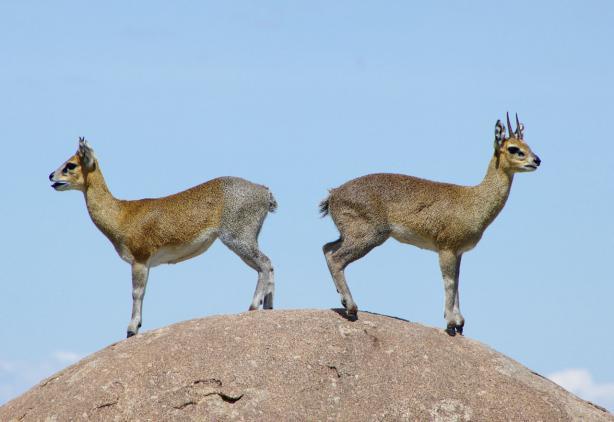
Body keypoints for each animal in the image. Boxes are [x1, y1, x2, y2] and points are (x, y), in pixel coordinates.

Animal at [50, 140, 276, 338]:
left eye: (70, 164)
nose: (51, 176)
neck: (122, 214)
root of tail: (265, 192)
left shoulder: (139, 259)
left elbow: (137, 292)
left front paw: (131, 329)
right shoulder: (147, 263)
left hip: (238, 238)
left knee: (264, 264)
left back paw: (253, 305)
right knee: (269, 265)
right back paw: (268, 306)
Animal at [322, 113, 544, 334]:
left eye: (527, 144)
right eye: (514, 148)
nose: (537, 160)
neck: (474, 201)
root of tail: (333, 195)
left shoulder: (459, 251)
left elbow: (457, 282)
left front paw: (460, 322)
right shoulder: (446, 248)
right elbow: (449, 282)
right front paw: (451, 322)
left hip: (349, 234)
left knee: (327, 248)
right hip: (369, 236)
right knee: (337, 259)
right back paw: (351, 308)